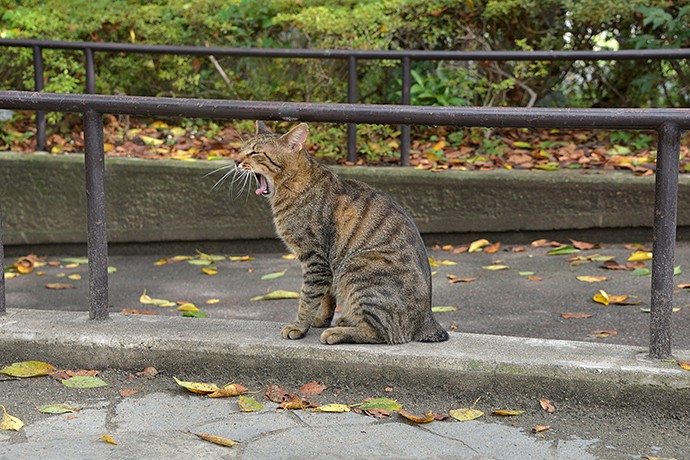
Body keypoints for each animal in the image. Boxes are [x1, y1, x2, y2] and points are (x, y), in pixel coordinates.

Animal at [231, 122, 448, 344]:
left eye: (255, 152)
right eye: (241, 149)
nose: (236, 160)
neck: (290, 188)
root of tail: (428, 320)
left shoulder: (315, 260)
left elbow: (307, 298)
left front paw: (298, 327)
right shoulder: (326, 265)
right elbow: (327, 297)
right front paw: (320, 320)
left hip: (357, 268)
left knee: (382, 333)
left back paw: (337, 333)